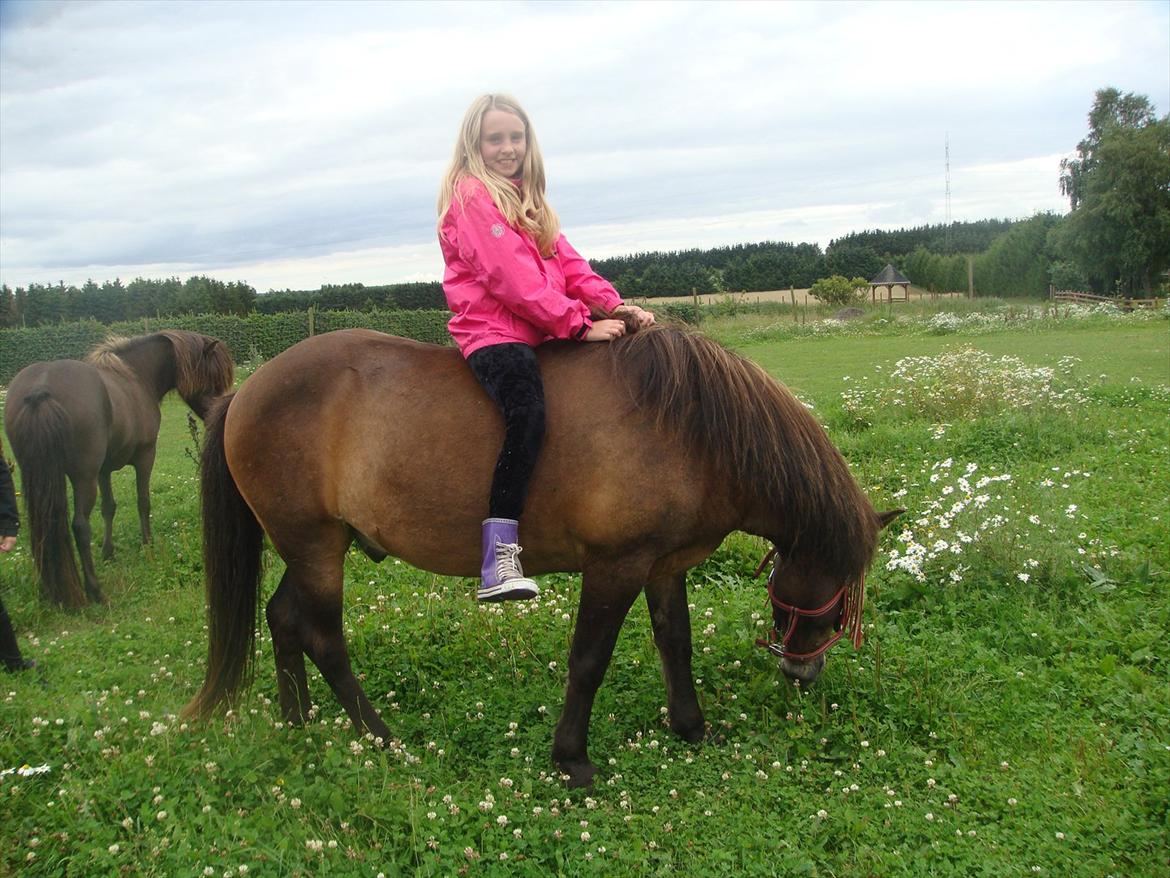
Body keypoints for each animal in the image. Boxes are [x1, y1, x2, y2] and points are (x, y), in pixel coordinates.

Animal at [4, 332, 235, 608]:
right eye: (214, 376)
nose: (223, 413)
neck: (135, 376)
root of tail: (41, 388)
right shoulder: (145, 457)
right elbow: (143, 502)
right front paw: (148, 545)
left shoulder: (103, 471)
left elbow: (109, 508)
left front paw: (108, 552)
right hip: (84, 478)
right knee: (80, 526)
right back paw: (95, 591)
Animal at [182, 327, 893, 786]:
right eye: (840, 597)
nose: (803, 674)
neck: (686, 426)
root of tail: (244, 394)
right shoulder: (615, 566)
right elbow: (589, 662)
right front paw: (572, 759)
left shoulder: (664, 564)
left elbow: (677, 645)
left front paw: (691, 729)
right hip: (316, 548)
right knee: (324, 638)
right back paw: (381, 738)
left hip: (312, 549)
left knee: (282, 621)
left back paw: (298, 725)